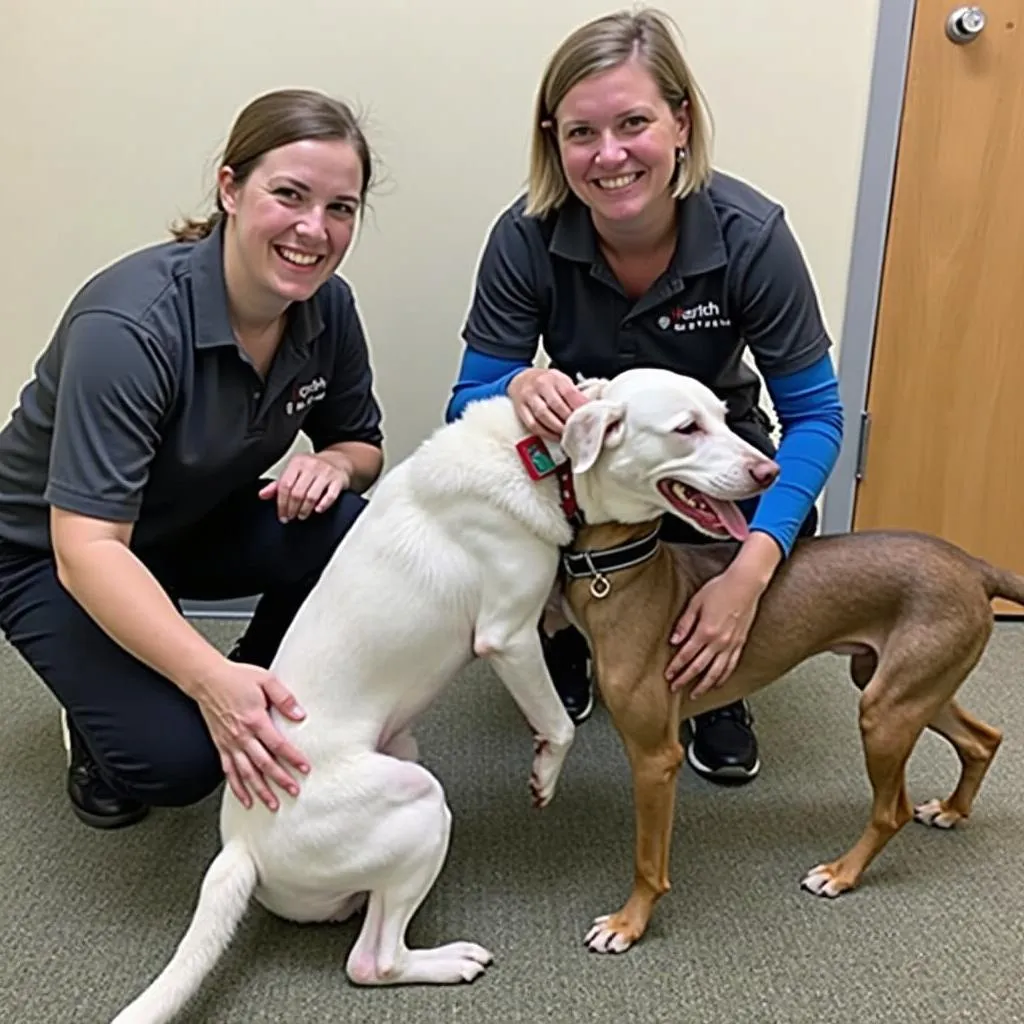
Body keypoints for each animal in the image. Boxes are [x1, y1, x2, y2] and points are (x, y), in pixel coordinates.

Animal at [110, 368, 745, 1024]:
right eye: (687, 429)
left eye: (724, 416)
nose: (766, 469)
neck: (544, 456)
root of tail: (240, 846)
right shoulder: (509, 636)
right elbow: (559, 724)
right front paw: (544, 774)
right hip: (419, 801)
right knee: (373, 962)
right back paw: (451, 960)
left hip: (402, 763)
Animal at [557, 366, 1019, 950]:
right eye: (688, 428)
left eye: (721, 417)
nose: (768, 471)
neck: (623, 570)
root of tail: (974, 565)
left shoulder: (655, 757)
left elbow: (647, 861)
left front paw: (629, 923)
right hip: (909, 686)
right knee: (983, 739)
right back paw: (954, 810)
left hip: (886, 713)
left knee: (891, 810)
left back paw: (842, 873)